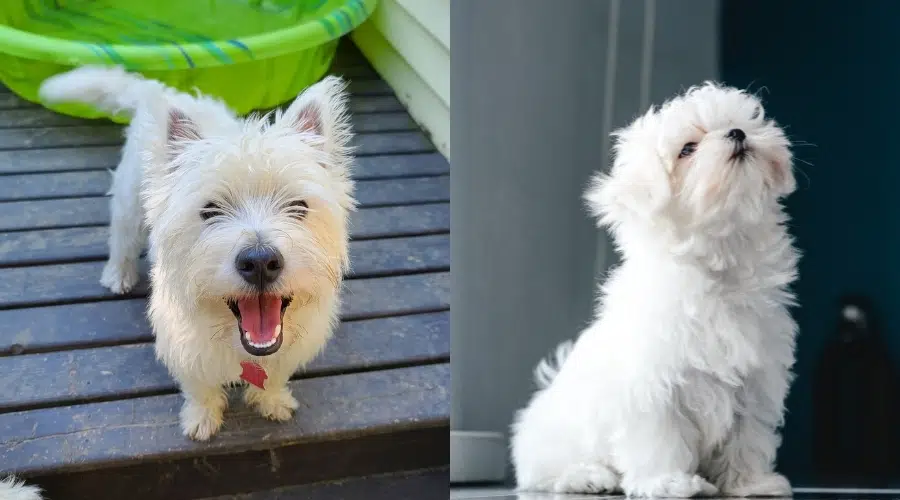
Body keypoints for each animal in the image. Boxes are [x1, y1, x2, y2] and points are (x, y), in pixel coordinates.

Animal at [39, 68, 356, 440]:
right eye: (210, 210)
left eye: (298, 206)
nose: (259, 262)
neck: (236, 341)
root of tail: (158, 90)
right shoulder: (183, 343)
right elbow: (199, 386)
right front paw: (202, 420)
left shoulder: (290, 348)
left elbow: (275, 376)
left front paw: (273, 402)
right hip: (130, 201)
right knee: (122, 238)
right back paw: (118, 275)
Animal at [510, 84, 800, 498]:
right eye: (687, 149)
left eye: (739, 122)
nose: (738, 134)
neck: (718, 267)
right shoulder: (651, 385)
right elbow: (659, 438)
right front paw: (669, 482)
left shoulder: (756, 380)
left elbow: (747, 436)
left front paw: (751, 482)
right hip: (556, 440)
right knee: (545, 472)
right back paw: (588, 477)